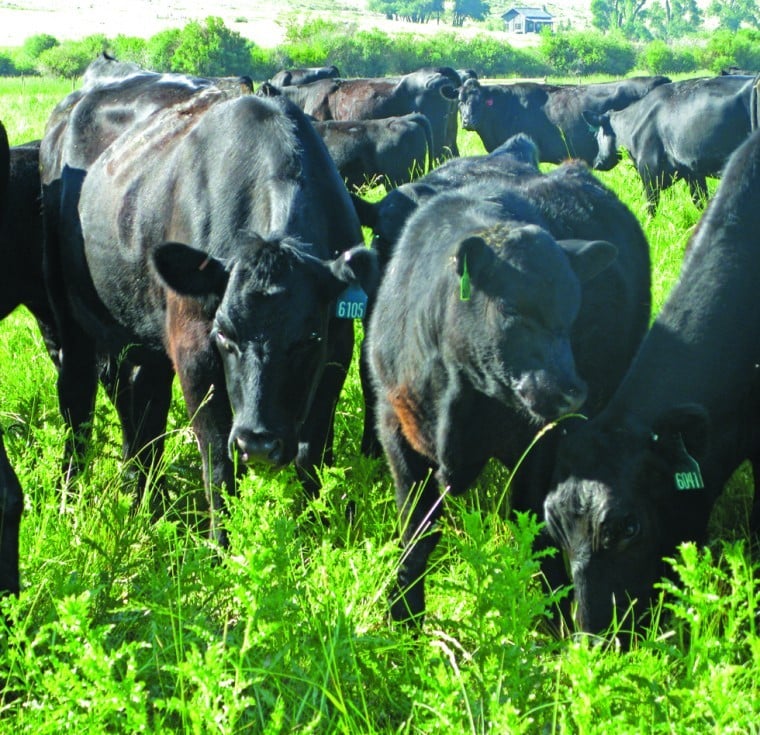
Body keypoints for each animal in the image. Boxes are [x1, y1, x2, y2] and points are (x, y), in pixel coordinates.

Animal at [42, 87, 380, 548]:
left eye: (309, 338)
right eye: (224, 336)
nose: (259, 443)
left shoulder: (336, 349)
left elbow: (312, 452)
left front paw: (316, 533)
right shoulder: (194, 351)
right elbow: (218, 460)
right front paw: (220, 549)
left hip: (142, 337)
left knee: (140, 411)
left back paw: (145, 500)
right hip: (70, 322)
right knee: (77, 405)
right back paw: (70, 503)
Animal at [580, 74, 756, 213]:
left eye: (597, 135)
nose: (596, 162)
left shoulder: (649, 171)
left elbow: (650, 206)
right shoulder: (692, 172)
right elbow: (700, 201)